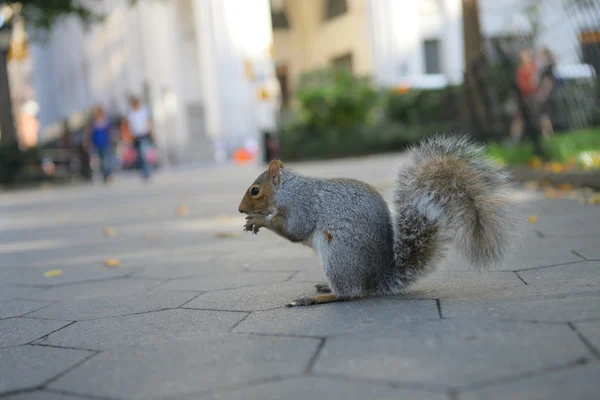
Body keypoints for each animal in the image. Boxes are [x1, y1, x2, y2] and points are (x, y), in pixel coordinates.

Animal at [239, 134, 520, 306]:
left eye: (255, 190)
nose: (240, 209)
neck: (287, 189)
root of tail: (375, 281)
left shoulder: (302, 205)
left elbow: (295, 229)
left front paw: (259, 219)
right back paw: (324, 289)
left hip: (338, 254)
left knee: (349, 293)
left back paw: (317, 298)